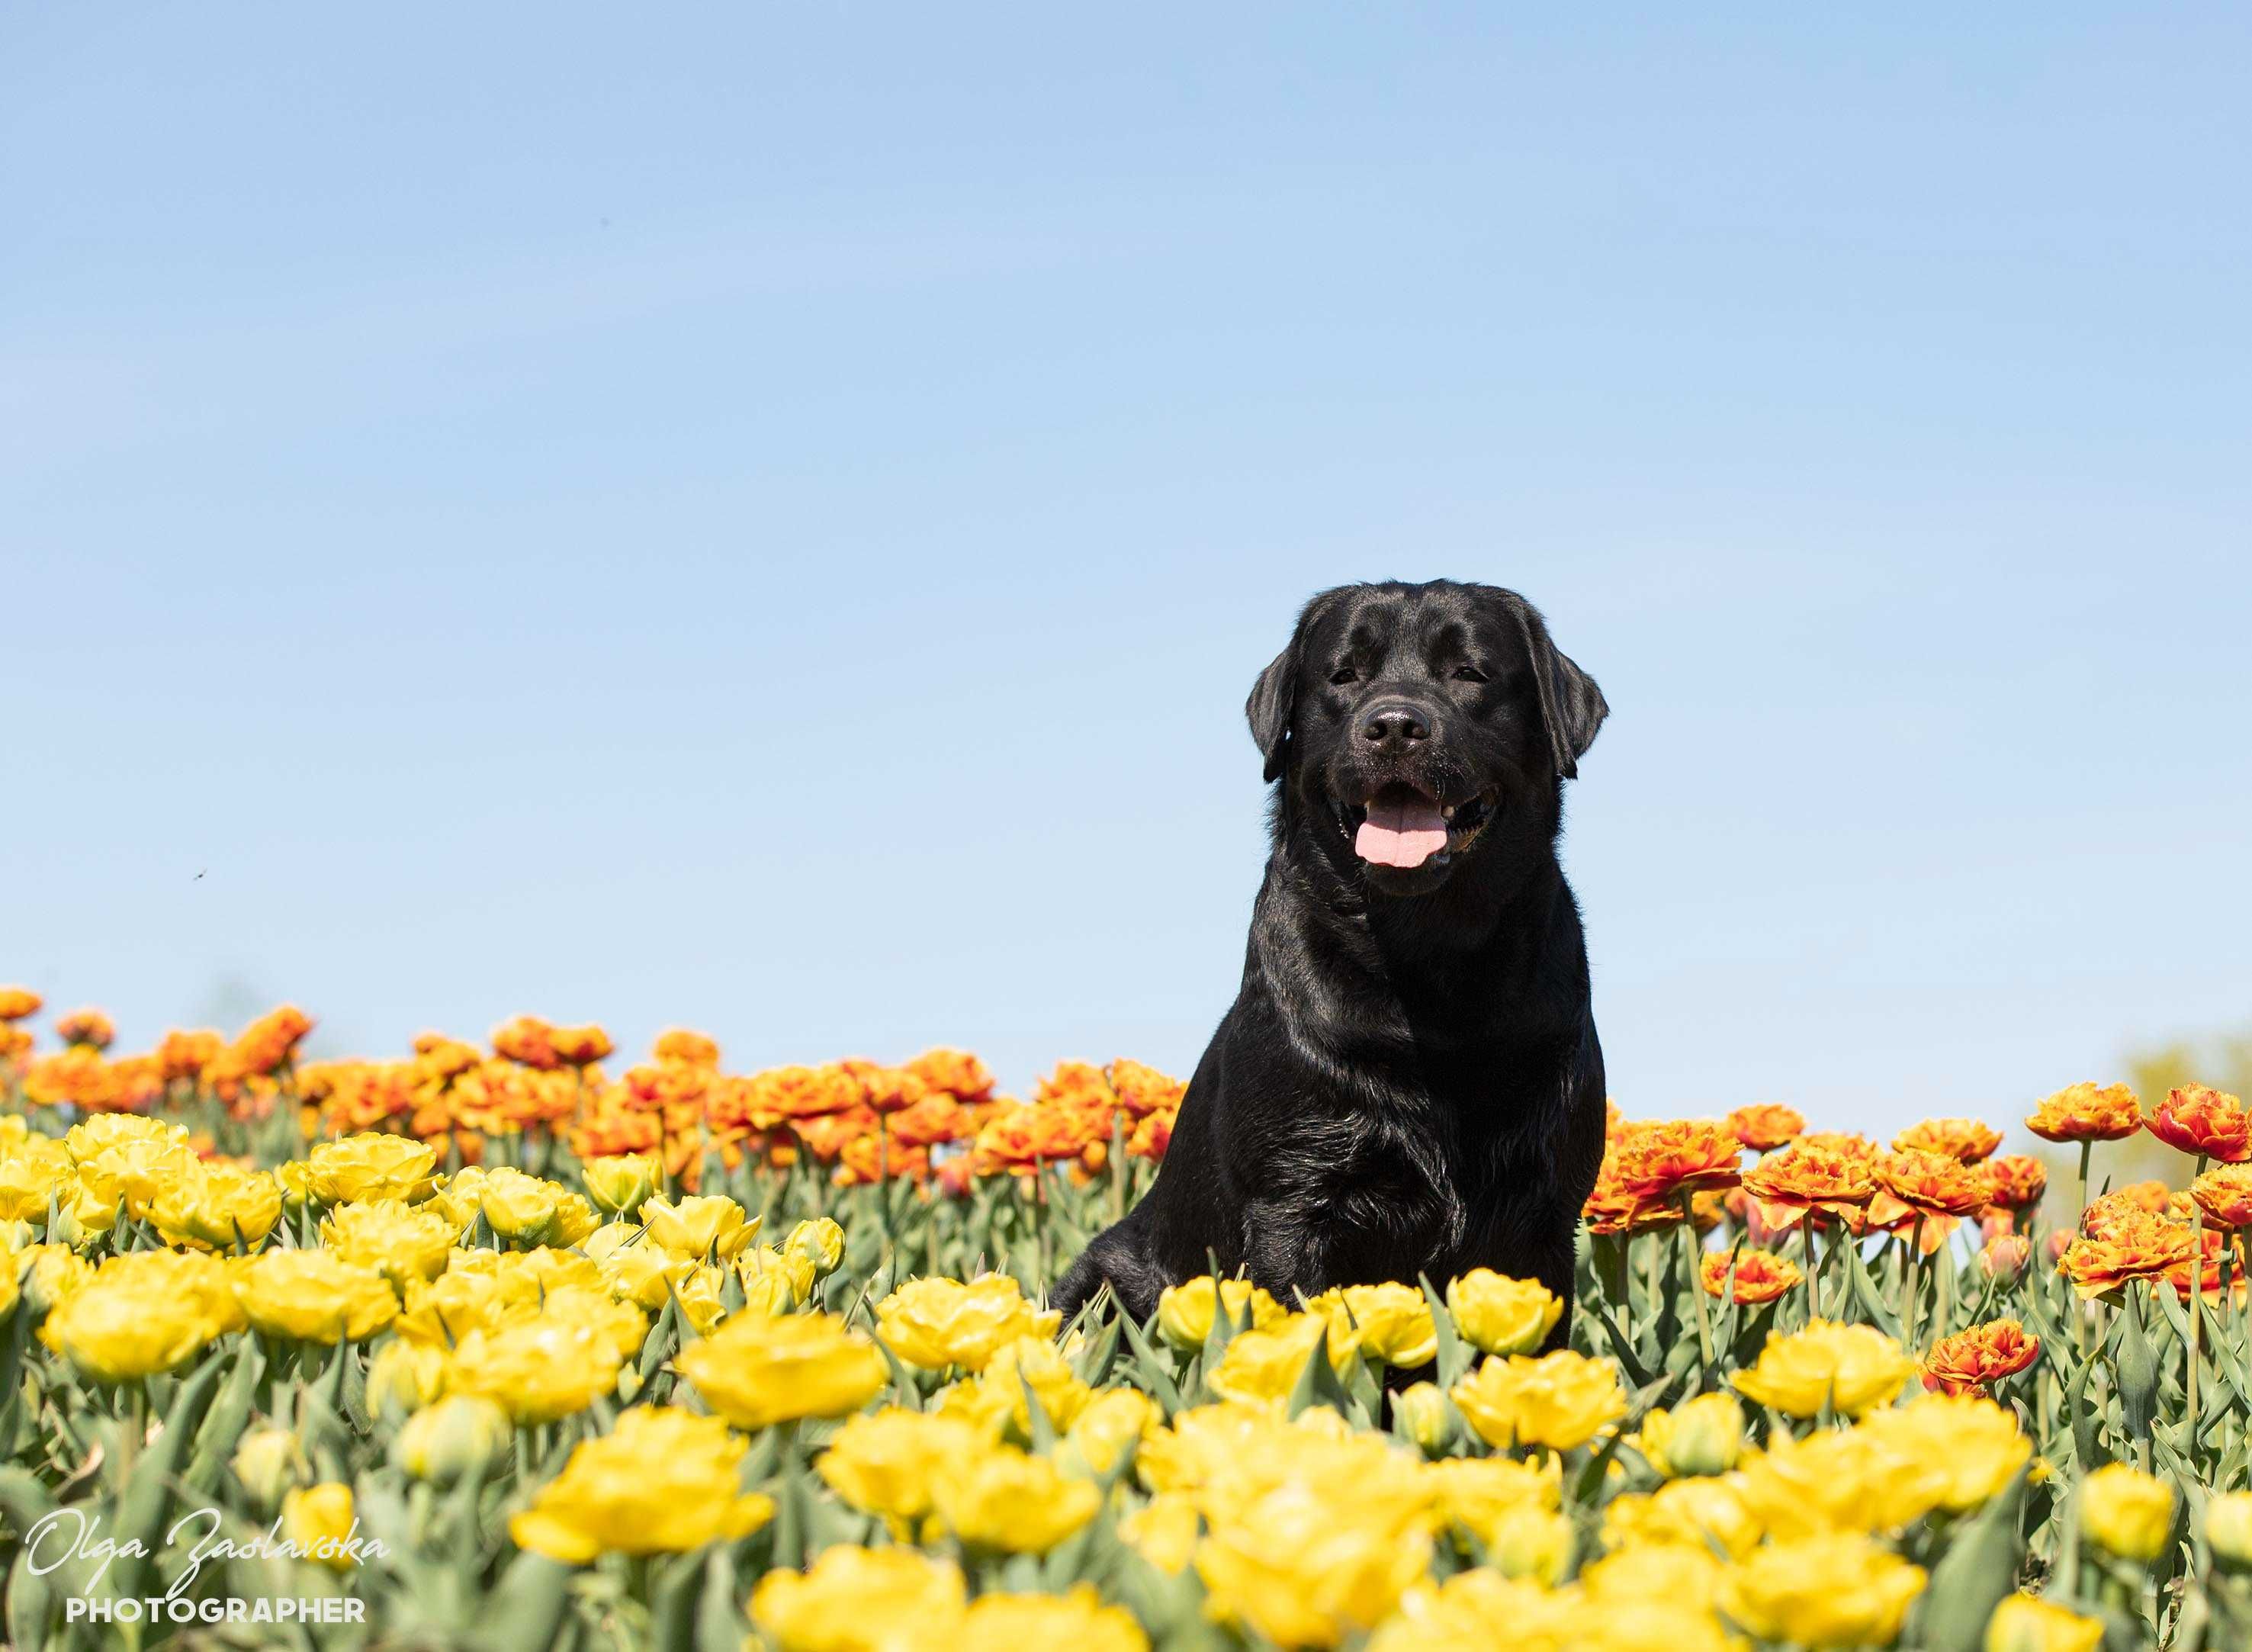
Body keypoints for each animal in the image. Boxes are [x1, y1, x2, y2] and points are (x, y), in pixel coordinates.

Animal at [1049, 581, 1603, 1343]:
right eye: (1343, 676)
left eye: (1469, 673)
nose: (1394, 725)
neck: (1426, 963)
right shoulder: (1294, 1198)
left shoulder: (1545, 1214)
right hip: (1102, 1280)